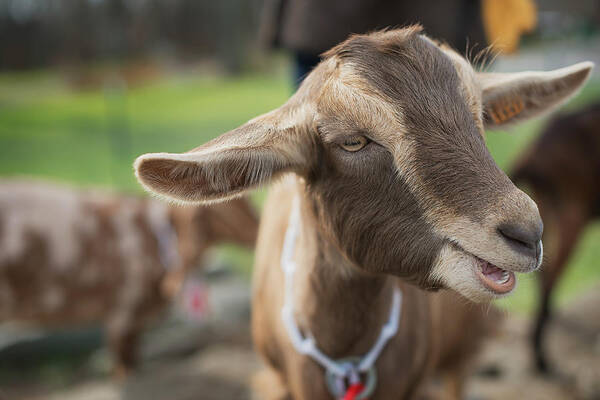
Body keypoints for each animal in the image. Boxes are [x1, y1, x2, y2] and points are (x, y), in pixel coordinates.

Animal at [0, 180, 255, 376]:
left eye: (247, 202)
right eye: (223, 206)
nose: (258, 230)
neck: (151, 234)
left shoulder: (134, 323)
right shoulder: (121, 317)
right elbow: (124, 369)